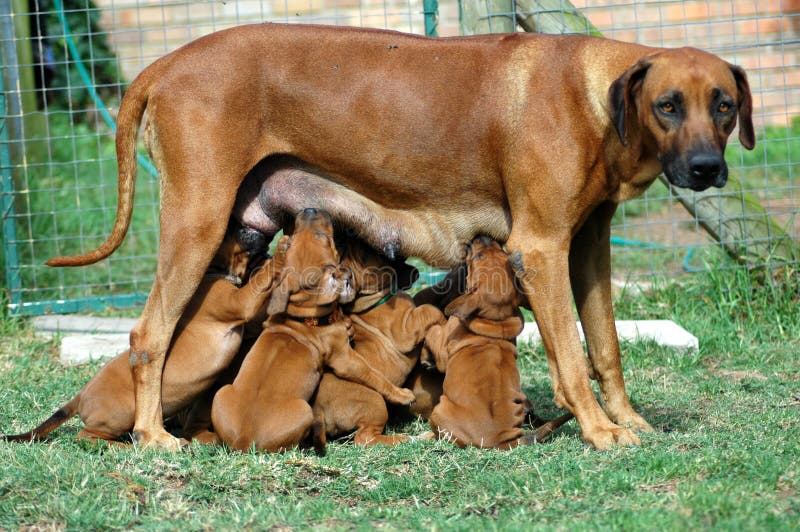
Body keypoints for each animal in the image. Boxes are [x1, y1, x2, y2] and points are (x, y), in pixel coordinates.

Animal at [2, 224, 284, 444]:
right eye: (233, 230)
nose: (259, 232)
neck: (214, 271)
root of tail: (80, 395)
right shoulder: (239, 303)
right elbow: (259, 282)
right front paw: (281, 253)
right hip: (119, 415)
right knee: (88, 437)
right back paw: (123, 446)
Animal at [209, 208, 416, 454]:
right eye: (324, 238)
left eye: (294, 236)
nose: (309, 209)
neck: (303, 315)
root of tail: (243, 441)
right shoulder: (345, 359)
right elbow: (374, 375)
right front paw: (401, 394)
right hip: (306, 409)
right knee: (364, 438)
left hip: (221, 393)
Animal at [312, 237, 446, 444]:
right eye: (366, 255)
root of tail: (319, 412)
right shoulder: (405, 330)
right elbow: (430, 310)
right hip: (375, 402)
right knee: (365, 438)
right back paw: (403, 438)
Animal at [422, 237, 572, 448]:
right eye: (503, 254)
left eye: (478, 256)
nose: (484, 237)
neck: (493, 320)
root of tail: (503, 440)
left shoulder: (444, 346)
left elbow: (432, 331)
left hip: (438, 413)